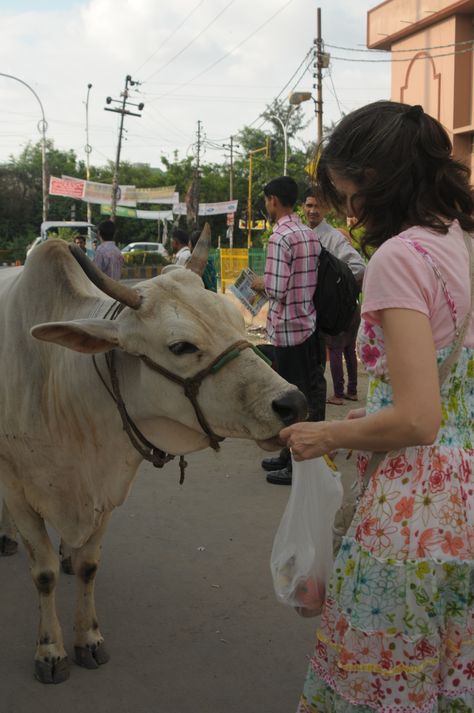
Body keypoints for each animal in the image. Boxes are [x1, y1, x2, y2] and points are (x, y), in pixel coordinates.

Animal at [0, 235, 308, 684]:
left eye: (235, 323)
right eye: (181, 347)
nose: (293, 403)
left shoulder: (108, 488)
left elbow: (90, 565)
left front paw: (88, 638)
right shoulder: (19, 490)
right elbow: (43, 574)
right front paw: (51, 651)